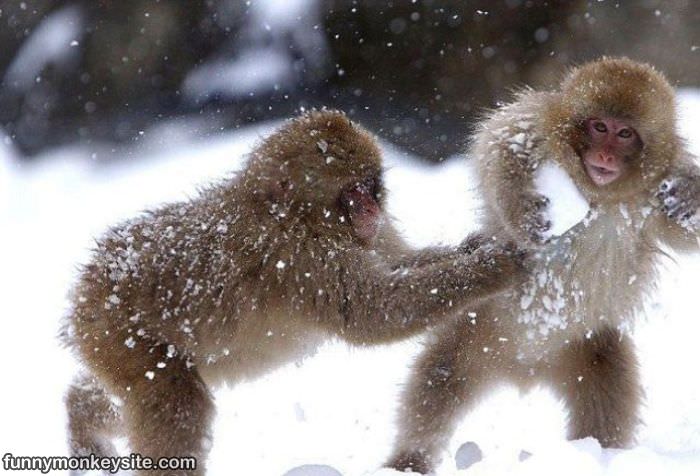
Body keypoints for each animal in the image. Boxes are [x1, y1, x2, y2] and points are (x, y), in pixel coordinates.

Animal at [388, 56, 700, 472]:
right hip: (475, 329)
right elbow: (497, 144)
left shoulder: (657, 193)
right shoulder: (535, 121)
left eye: (625, 134)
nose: (605, 156)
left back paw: (598, 455)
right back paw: (409, 460)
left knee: (609, 389)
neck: (595, 192)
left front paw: (689, 196)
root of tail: (526, 370)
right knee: (439, 380)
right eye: (599, 127)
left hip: (587, 346)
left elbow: (687, 230)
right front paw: (527, 215)